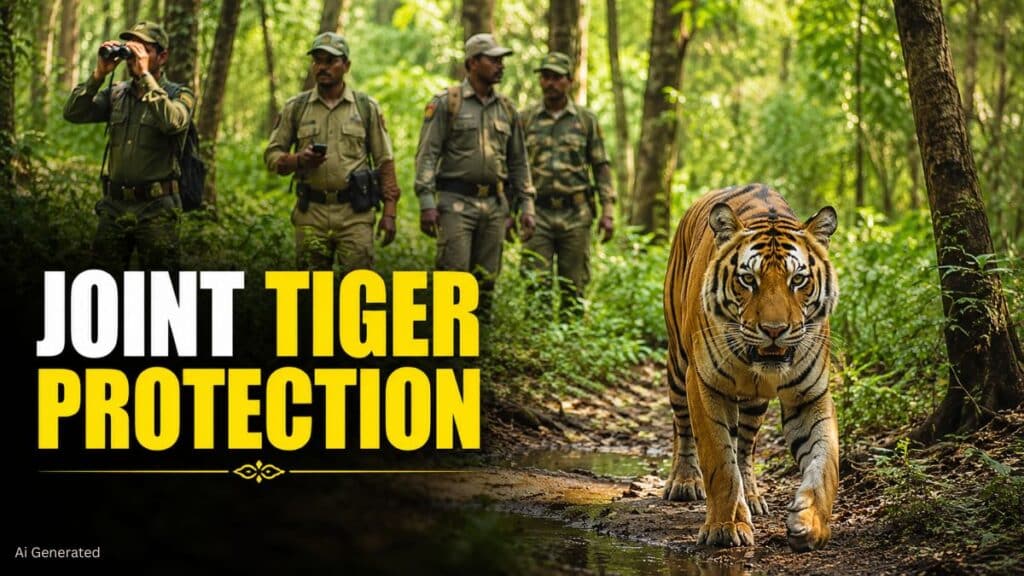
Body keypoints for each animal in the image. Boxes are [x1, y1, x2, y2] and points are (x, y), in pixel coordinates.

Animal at [661, 184, 839, 552]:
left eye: (798, 279)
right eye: (747, 279)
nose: (774, 330)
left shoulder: (810, 395)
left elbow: (825, 460)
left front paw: (811, 524)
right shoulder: (704, 384)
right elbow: (718, 459)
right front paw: (726, 527)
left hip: (755, 404)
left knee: (745, 445)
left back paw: (754, 497)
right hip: (678, 365)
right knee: (682, 426)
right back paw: (684, 482)